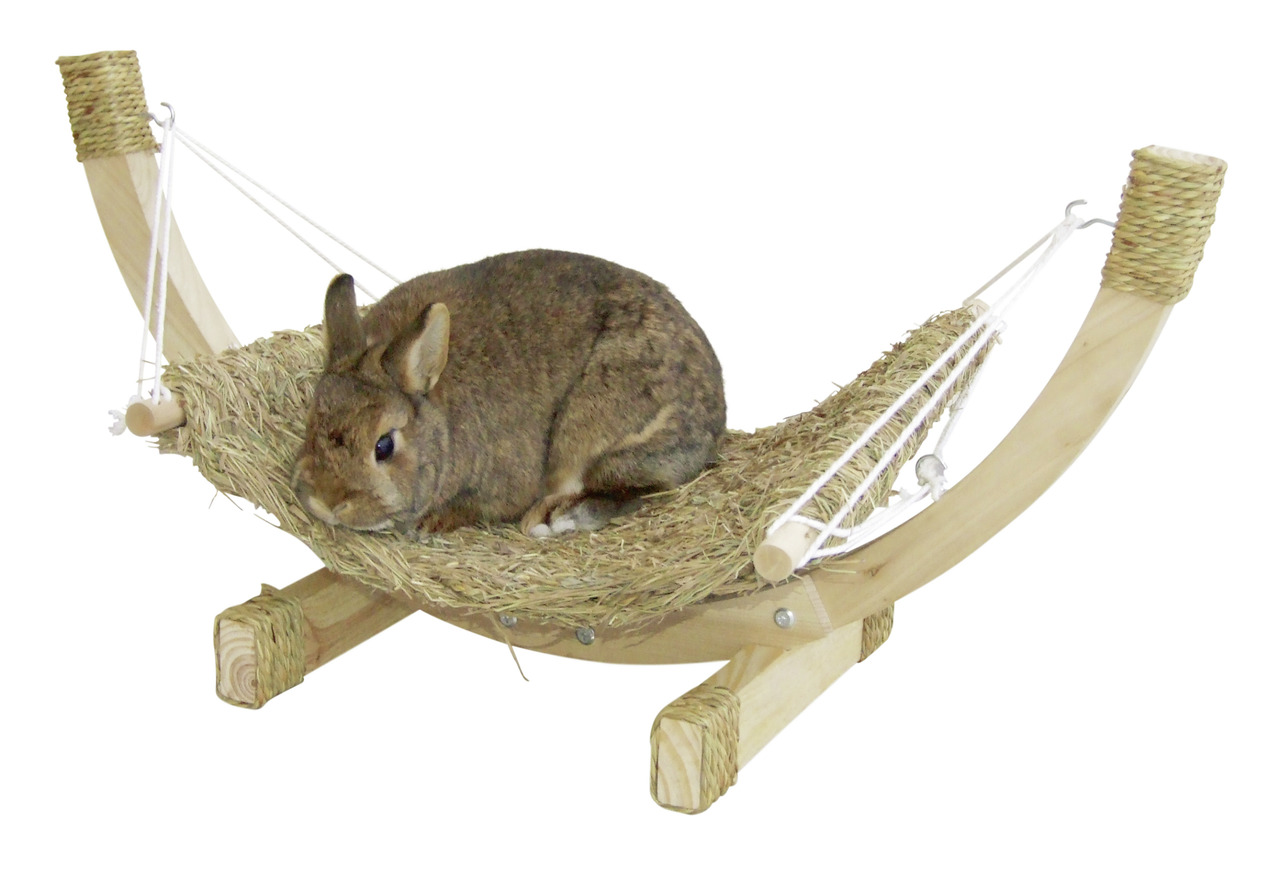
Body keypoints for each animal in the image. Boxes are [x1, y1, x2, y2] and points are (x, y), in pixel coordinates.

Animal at [291, 249, 726, 539]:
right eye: (311, 424)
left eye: (383, 446)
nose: (327, 502)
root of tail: (716, 417)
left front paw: (433, 522)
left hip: (598, 433)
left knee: (639, 488)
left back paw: (553, 518)